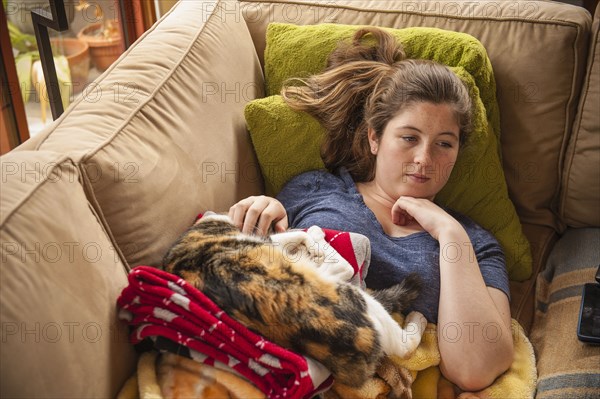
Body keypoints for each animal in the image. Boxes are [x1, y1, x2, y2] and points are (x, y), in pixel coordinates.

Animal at [163, 214, 426, 390]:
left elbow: (289, 234)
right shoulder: (265, 242)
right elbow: (293, 234)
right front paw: (313, 236)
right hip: (353, 296)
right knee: (403, 344)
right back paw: (418, 319)